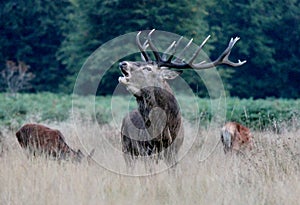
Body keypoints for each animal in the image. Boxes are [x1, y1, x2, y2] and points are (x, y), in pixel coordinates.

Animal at [117, 29, 246, 167]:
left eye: (148, 68)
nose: (123, 63)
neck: (164, 132)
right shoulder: (147, 152)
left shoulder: (174, 152)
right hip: (126, 149)